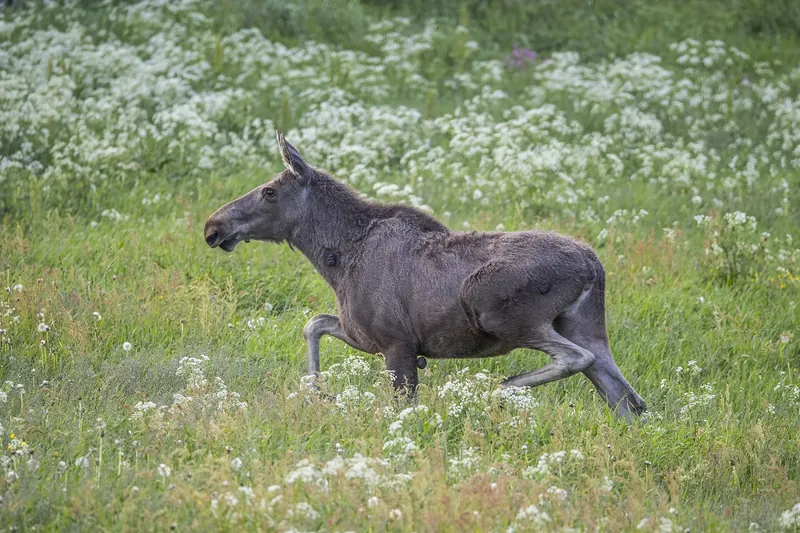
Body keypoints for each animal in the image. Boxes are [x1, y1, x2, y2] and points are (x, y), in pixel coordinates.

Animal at [204, 133, 647, 418]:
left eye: (269, 192)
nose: (213, 226)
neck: (335, 259)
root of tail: (594, 266)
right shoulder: (364, 334)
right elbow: (314, 323)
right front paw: (317, 390)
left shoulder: (396, 343)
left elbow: (401, 405)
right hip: (585, 325)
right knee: (628, 400)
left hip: (502, 313)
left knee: (577, 360)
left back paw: (502, 386)